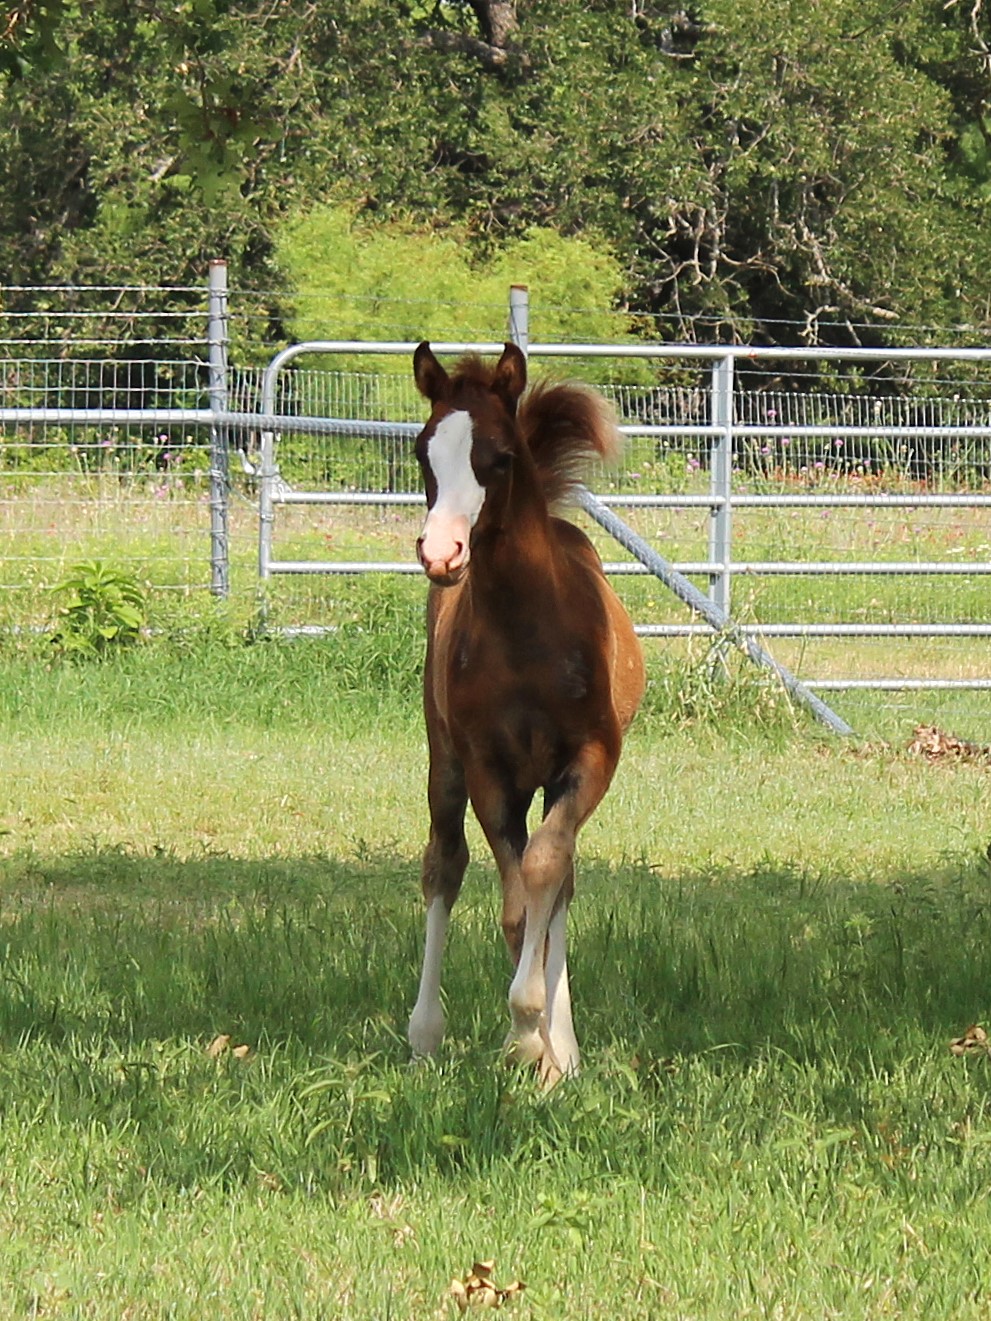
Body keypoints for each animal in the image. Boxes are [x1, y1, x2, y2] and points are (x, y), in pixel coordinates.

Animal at [406, 341, 645, 1085]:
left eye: (501, 456)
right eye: (424, 450)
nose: (441, 553)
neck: (528, 632)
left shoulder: (590, 759)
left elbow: (546, 873)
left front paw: (544, 1045)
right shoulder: (490, 769)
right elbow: (513, 905)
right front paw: (524, 1037)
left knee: (558, 875)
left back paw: (561, 1047)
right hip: (444, 761)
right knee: (443, 863)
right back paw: (424, 1034)